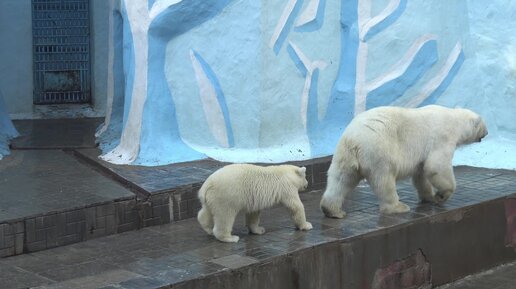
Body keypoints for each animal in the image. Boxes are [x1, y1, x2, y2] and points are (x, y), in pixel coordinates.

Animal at [320, 105, 486, 216]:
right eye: (484, 123)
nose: (487, 132)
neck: (454, 119)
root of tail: (353, 139)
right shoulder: (442, 137)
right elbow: (436, 166)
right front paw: (442, 195)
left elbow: (421, 174)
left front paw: (429, 197)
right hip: (378, 151)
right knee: (384, 180)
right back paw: (398, 207)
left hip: (345, 155)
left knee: (341, 179)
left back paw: (332, 210)